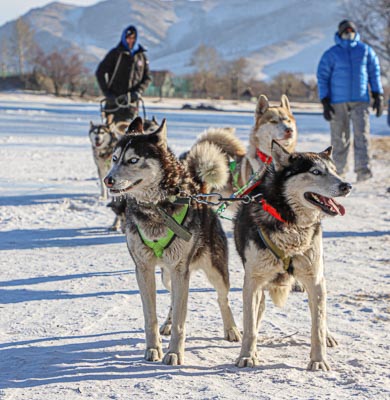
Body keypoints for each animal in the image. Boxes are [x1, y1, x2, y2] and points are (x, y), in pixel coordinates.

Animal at [103, 116, 241, 366]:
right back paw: (166, 324)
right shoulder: (144, 269)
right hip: (167, 276)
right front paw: (153, 348)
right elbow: (151, 316)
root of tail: (200, 190)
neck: (157, 208)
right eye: (115, 158)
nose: (108, 180)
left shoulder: (180, 269)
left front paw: (174, 352)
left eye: (133, 160)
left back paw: (231, 329)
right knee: (172, 299)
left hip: (214, 271)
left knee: (222, 298)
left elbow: (181, 318)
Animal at [235, 141, 354, 372]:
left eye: (334, 171)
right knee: (258, 310)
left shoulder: (314, 280)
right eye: (315, 172)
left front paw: (318, 360)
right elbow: (250, 323)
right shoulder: (252, 282)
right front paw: (247, 355)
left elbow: (317, 326)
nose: (347, 186)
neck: (290, 223)